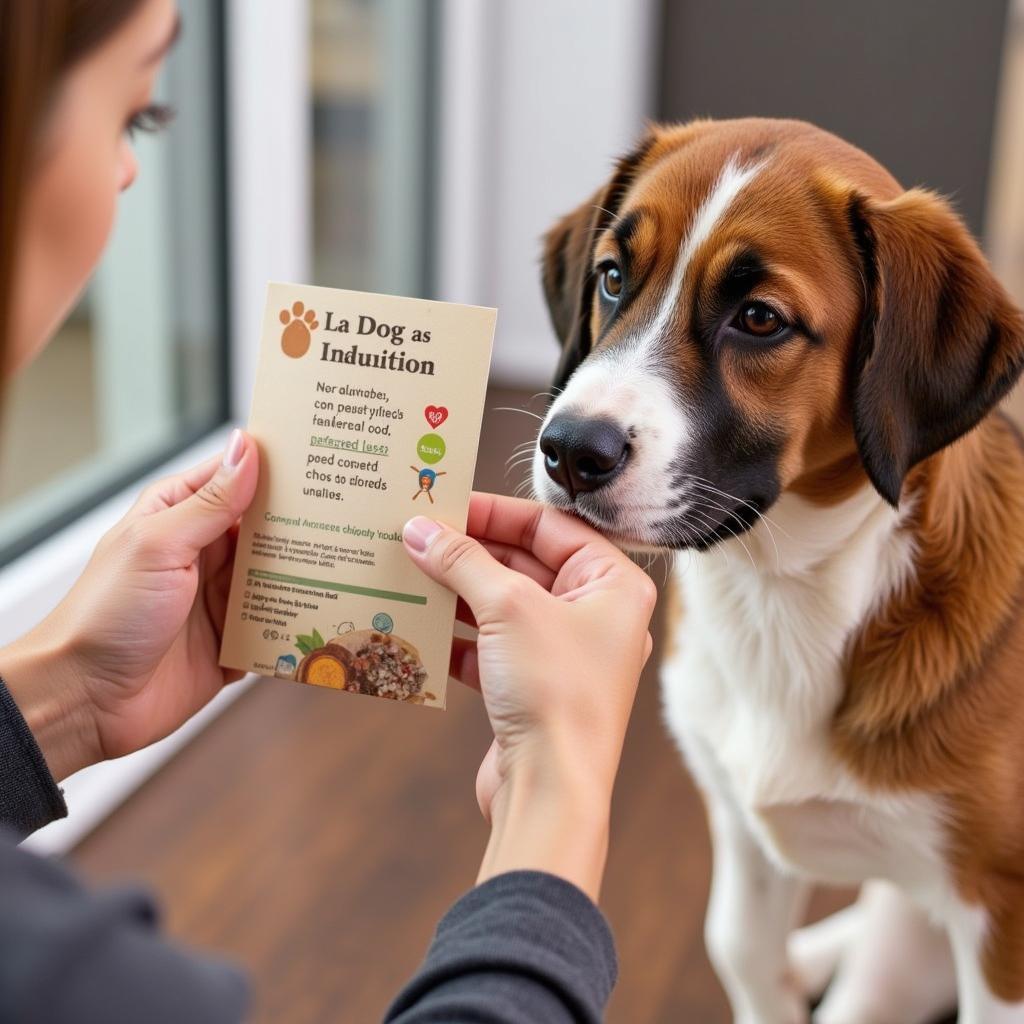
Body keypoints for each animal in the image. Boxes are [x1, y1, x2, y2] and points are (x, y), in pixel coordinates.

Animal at [532, 121, 1024, 1024]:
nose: (570, 451)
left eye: (759, 319)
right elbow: (740, 948)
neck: (782, 595)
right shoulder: (741, 825)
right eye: (612, 277)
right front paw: (783, 975)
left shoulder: (1000, 910)